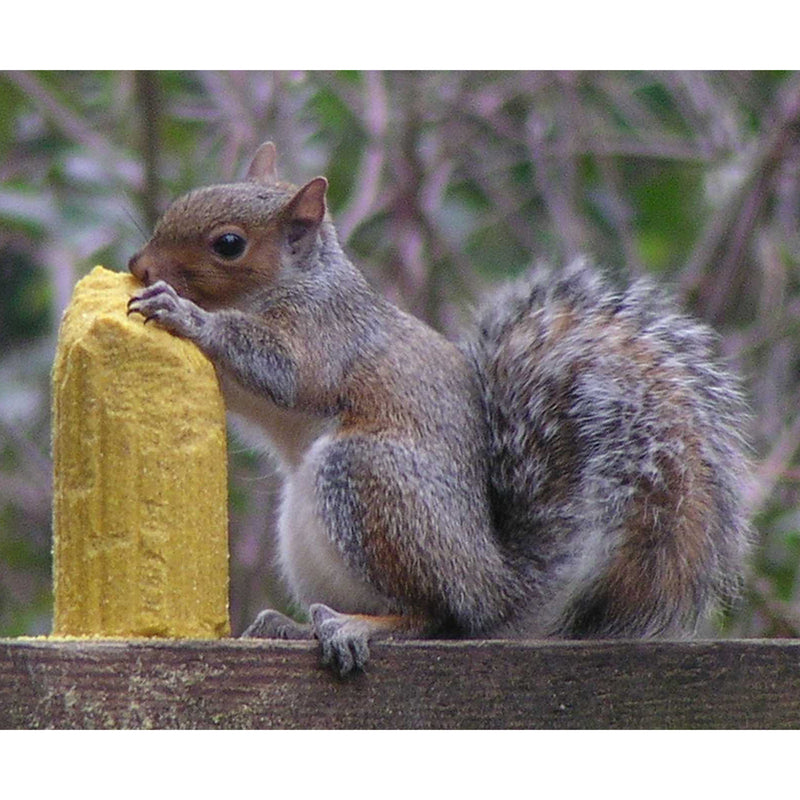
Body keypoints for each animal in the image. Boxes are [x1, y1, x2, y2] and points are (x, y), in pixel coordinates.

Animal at [127, 141, 753, 675]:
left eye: (229, 244)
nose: (138, 266)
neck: (295, 285)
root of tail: (496, 589)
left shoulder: (325, 338)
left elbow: (284, 372)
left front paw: (187, 314)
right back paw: (293, 626)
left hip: (371, 482)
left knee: (434, 617)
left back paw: (358, 627)